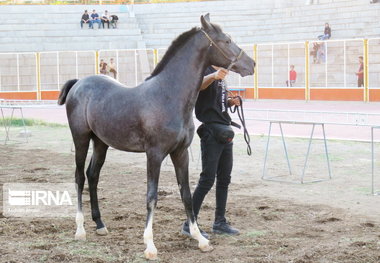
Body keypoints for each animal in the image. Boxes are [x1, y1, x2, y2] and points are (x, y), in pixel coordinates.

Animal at [58, 14, 255, 262]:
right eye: (227, 40)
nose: (251, 64)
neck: (168, 96)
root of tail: (78, 83)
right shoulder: (154, 154)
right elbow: (151, 196)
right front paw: (150, 245)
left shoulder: (180, 153)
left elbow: (187, 194)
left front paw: (200, 239)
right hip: (81, 139)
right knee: (79, 177)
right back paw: (81, 229)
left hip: (101, 143)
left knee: (93, 175)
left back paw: (100, 225)